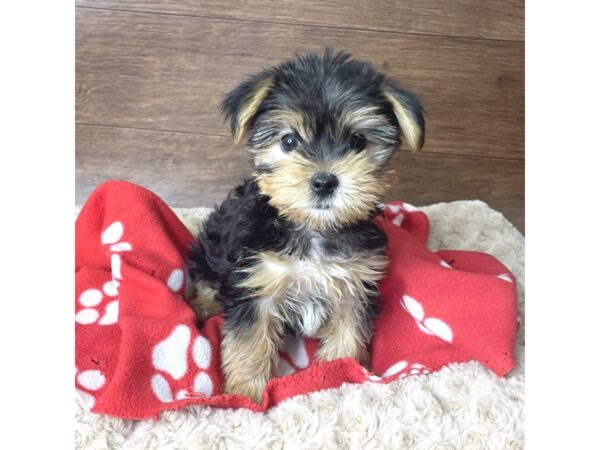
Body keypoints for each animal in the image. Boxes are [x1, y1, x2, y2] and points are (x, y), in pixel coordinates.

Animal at [186, 49, 422, 400]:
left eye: (357, 141)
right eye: (288, 141)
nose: (324, 182)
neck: (314, 229)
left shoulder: (355, 284)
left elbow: (349, 331)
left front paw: (341, 368)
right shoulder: (255, 282)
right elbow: (249, 343)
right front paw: (246, 393)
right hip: (212, 245)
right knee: (205, 272)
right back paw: (204, 304)